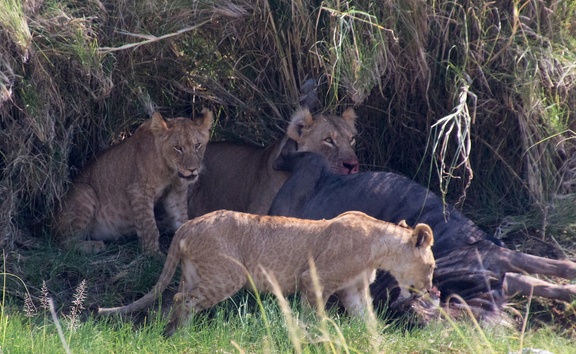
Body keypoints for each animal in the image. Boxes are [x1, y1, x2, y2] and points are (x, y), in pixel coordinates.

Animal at [99, 210, 434, 338]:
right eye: (431, 267)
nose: (430, 289)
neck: (379, 247)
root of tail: (188, 224)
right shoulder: (314, 280)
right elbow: (314, 316)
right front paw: (314, 338)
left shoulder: (353, 290)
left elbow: (367, 321)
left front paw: (378, 341)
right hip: (228, 275)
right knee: (184, 299)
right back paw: (183, 336)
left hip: (194, 272)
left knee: (176, 299)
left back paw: (172, 334)